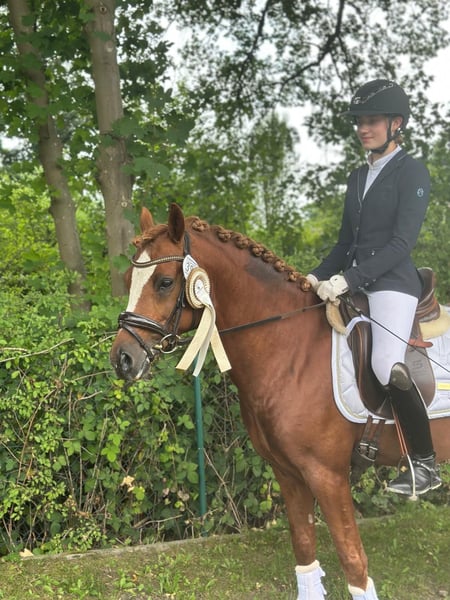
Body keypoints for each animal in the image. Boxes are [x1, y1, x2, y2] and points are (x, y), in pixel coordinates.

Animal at [110, 203, 450, 600]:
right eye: (130, 277)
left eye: (164, 282)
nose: (122, 359)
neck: (291, 348)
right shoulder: (288, 472)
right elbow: (303, 546)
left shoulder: (327, 476)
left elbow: (354, 563)